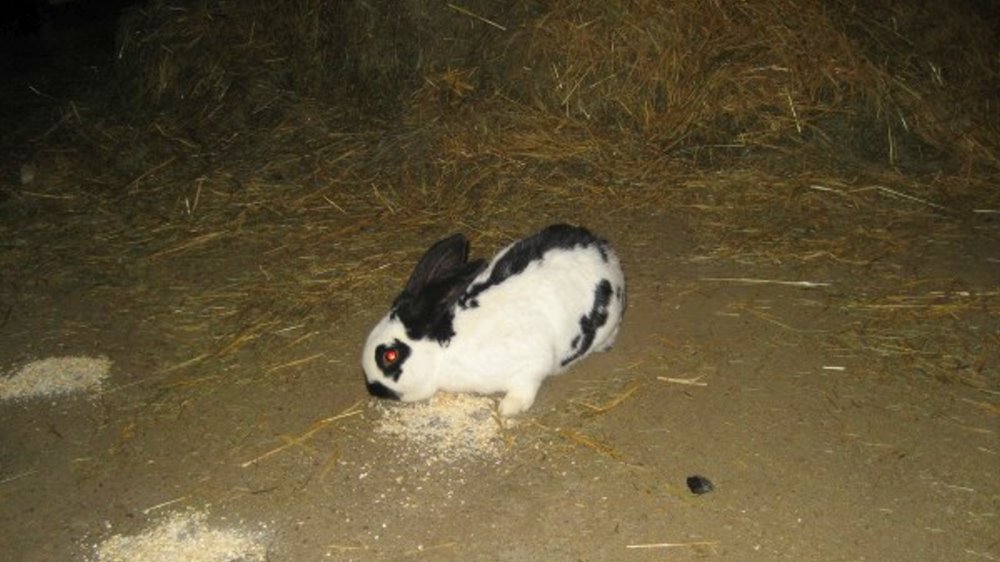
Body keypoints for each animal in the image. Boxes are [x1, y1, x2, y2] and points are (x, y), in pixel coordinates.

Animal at [361, 224, 626, 416]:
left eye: (390, 356)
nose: (372, 388)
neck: (444, 349)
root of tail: (604, 250)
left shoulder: (532, 363)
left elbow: (525, 387)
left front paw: (507, 409)